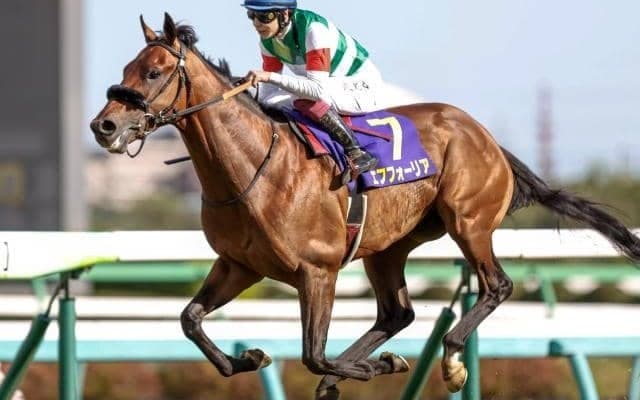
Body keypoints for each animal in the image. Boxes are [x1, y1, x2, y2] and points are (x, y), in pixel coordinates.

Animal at [90, 13, 640, 399]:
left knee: (495, 285)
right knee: (397, 314)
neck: (253, 168)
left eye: (154, 71)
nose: (104, 125)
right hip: (386, 247)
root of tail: (485, 136)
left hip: (469, 221)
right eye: (125, 69)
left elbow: (313, 354)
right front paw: (249, 359)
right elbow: (190, 320)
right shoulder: (239, 264)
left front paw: (379, 366)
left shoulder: (318, 270)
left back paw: (450, 360)